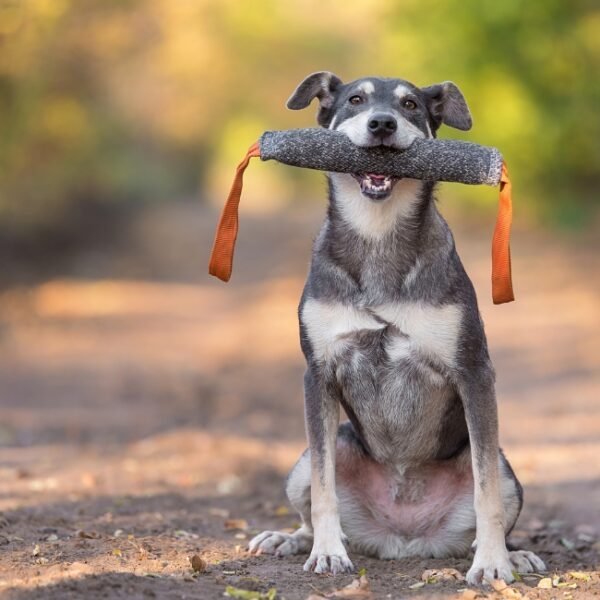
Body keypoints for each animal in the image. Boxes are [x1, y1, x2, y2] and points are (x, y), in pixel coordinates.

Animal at [247, 72, 544, 584]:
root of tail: (402, 539)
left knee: (492, 501)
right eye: (355, 100)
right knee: (311, 500)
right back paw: (291, 539)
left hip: (507, 471)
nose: (382, 123)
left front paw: (492, 563)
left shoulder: (474, 372)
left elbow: (485, 492)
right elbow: (324, 490)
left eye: (409, 105)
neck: (378, 235)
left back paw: (512, 553)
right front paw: (327, 553)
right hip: (311, 457)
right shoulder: (317, 374)